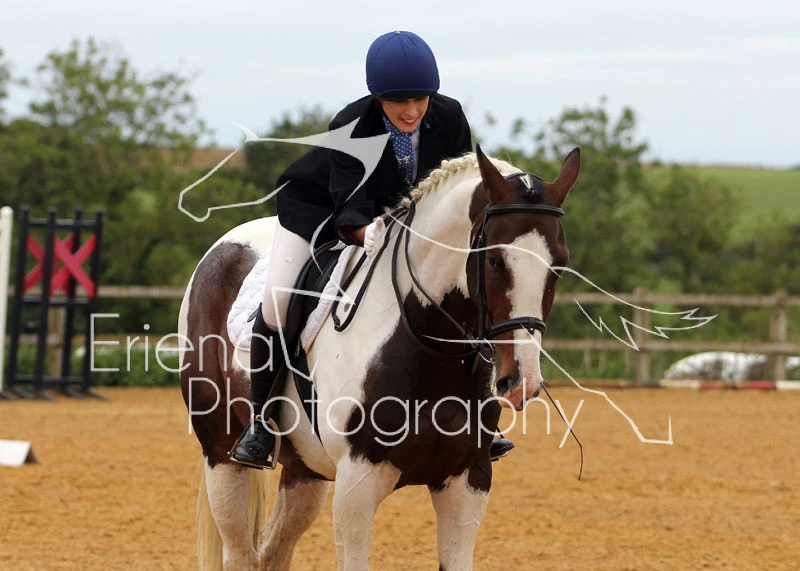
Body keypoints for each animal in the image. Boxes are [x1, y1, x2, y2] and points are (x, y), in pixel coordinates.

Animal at [178, 145, 580, 570]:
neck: (431, 352)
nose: (522, 381)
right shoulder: (357, 485)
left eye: (559, 264)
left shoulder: (467, 483)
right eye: (493, 260)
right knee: (239, 549)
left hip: (305, 468)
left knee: (273, 548)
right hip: (222, 454)